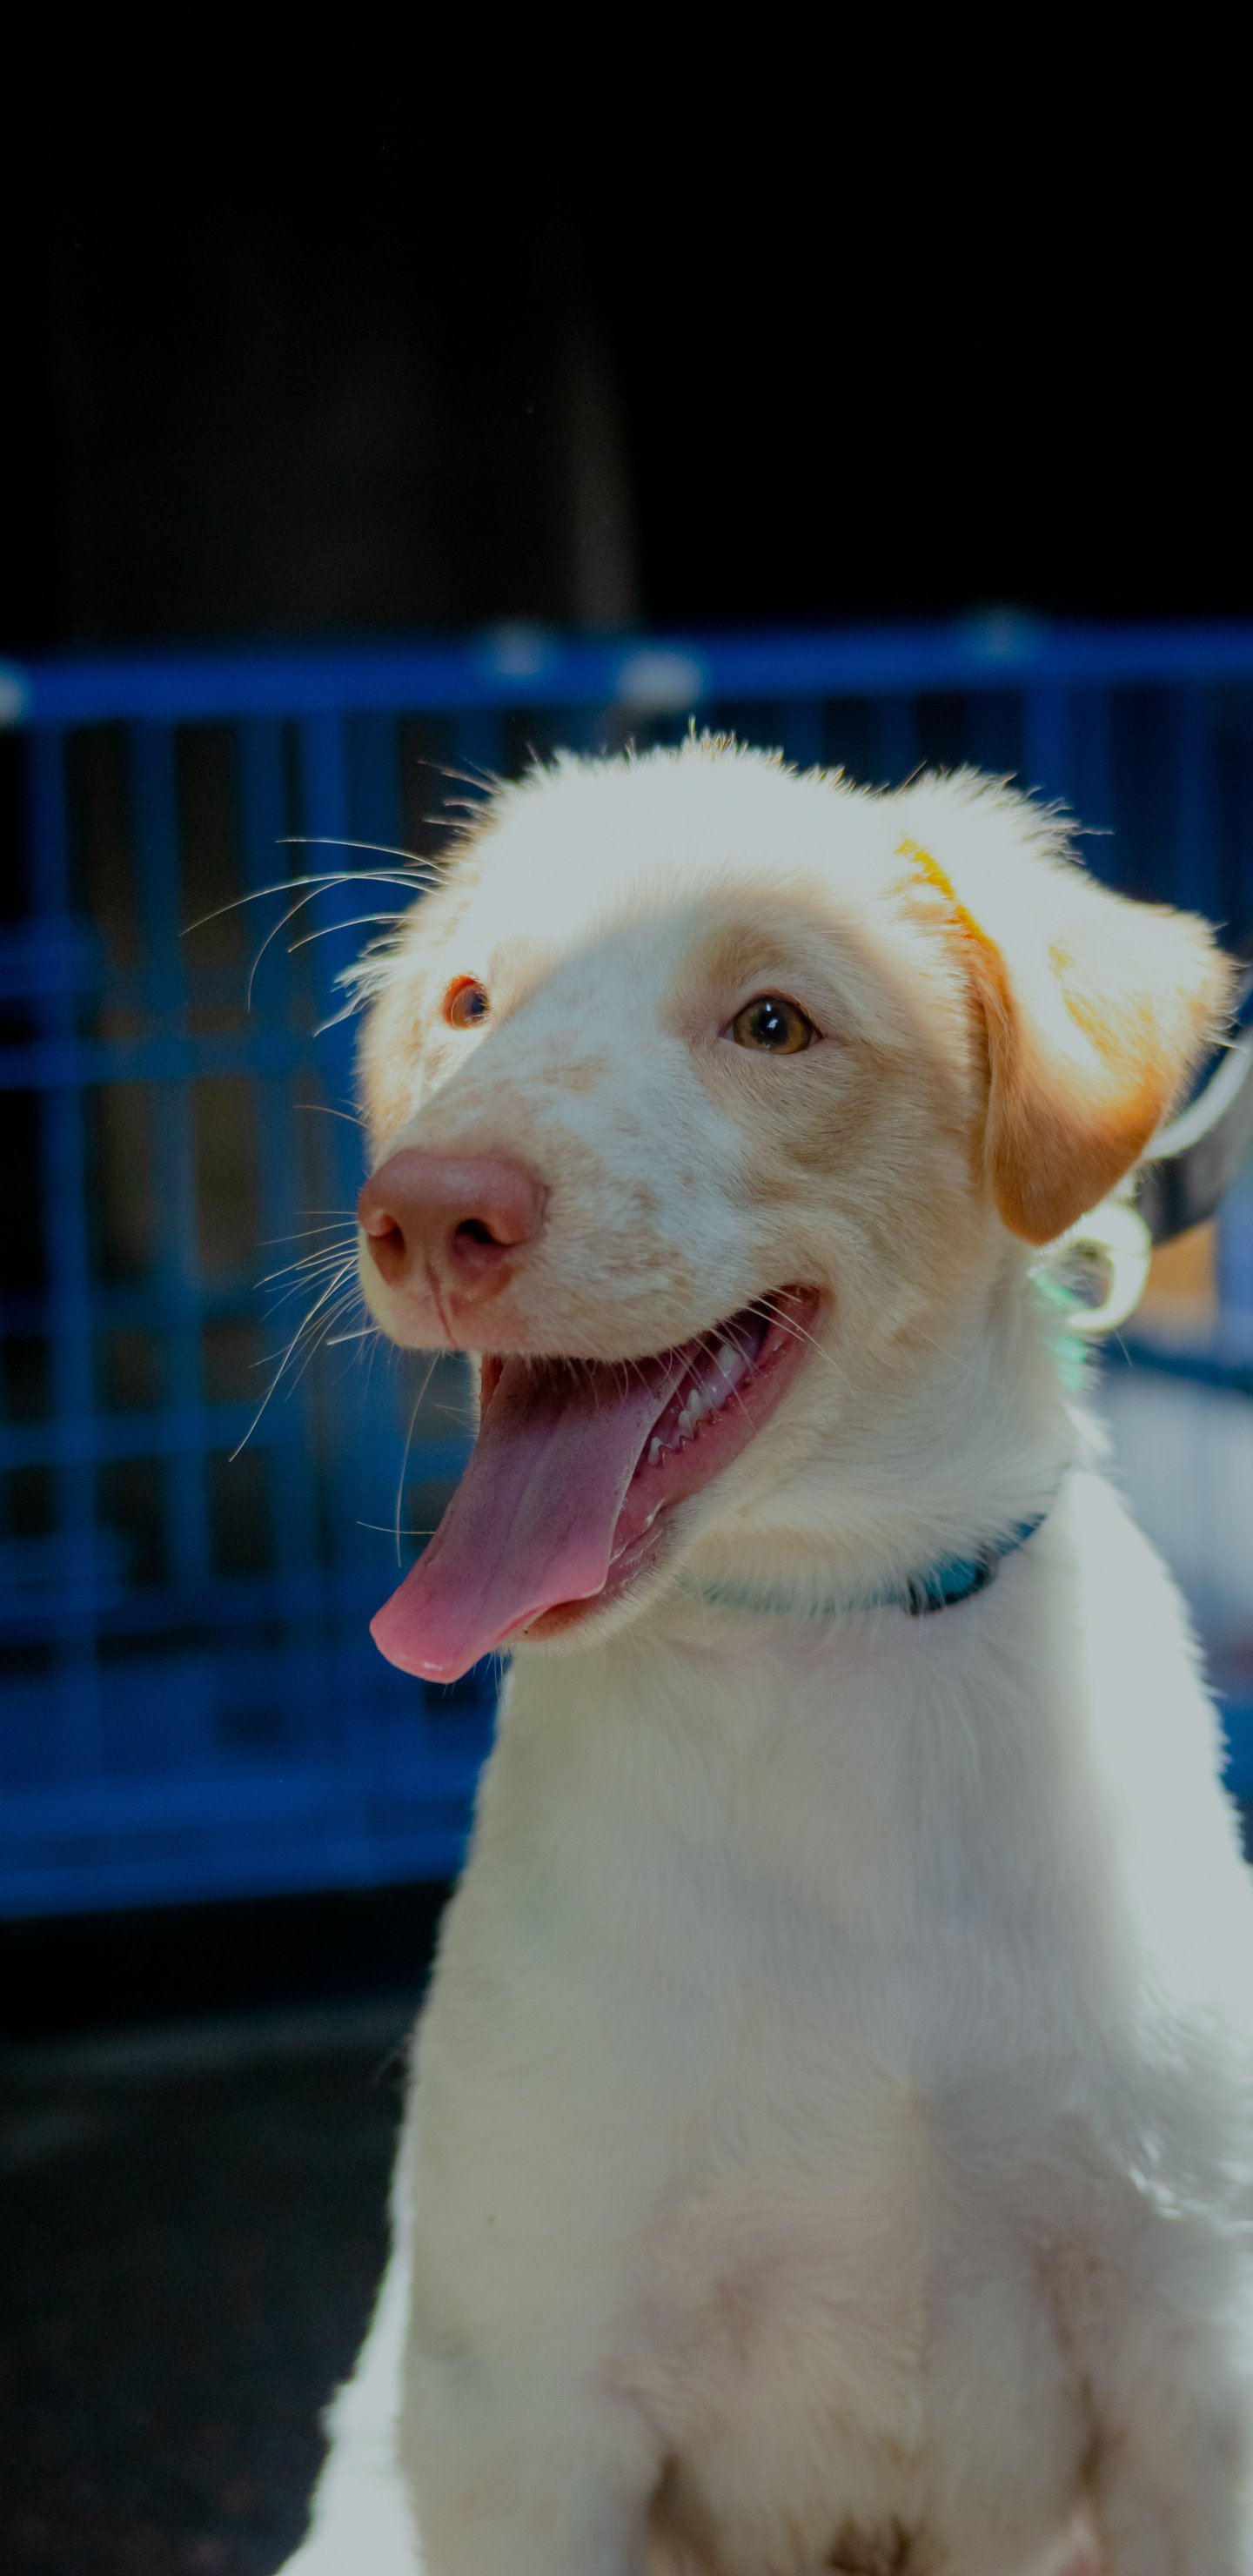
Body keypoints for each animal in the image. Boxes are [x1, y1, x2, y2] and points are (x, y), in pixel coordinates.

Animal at [280, 740, 1253, 2576]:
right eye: (467, 1004)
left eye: (775, 1025)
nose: (423, 1210)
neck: (827, 1650)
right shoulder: (531, 2406)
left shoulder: (1196, 2372)